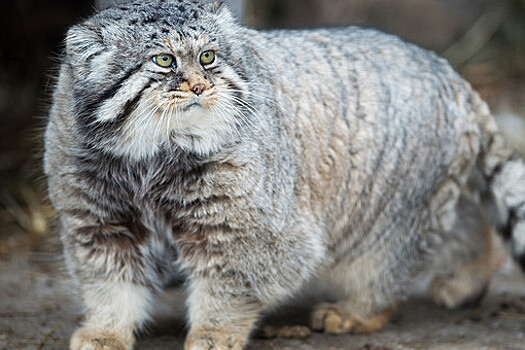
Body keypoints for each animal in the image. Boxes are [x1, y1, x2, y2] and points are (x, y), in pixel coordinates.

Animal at [45, 0, 524, 350]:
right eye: (164, 60)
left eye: (208, 57)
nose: (201, 87)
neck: (150, 157)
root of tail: (454, 76)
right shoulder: (99, 219)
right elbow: (108, 283)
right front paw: (105, 330)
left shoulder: (247, 229)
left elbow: (230, 284)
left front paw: (215, 333)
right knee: (465, 220)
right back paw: (465, 281)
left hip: (385, 213)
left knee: (387, 265)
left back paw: (358, 310)